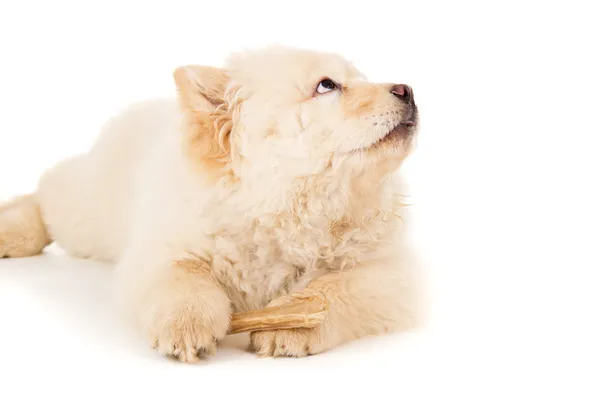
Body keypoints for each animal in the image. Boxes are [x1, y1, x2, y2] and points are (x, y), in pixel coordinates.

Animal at [0, 45, 422, 362]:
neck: (292, 211)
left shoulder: (393, 268)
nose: (407, 90)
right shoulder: (161, 248)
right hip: (92, 215)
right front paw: (188, 326)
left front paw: (287, 323)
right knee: (50, 190)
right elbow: (185, 277)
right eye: (327, 85)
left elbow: (334, 289)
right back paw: (12, 231)